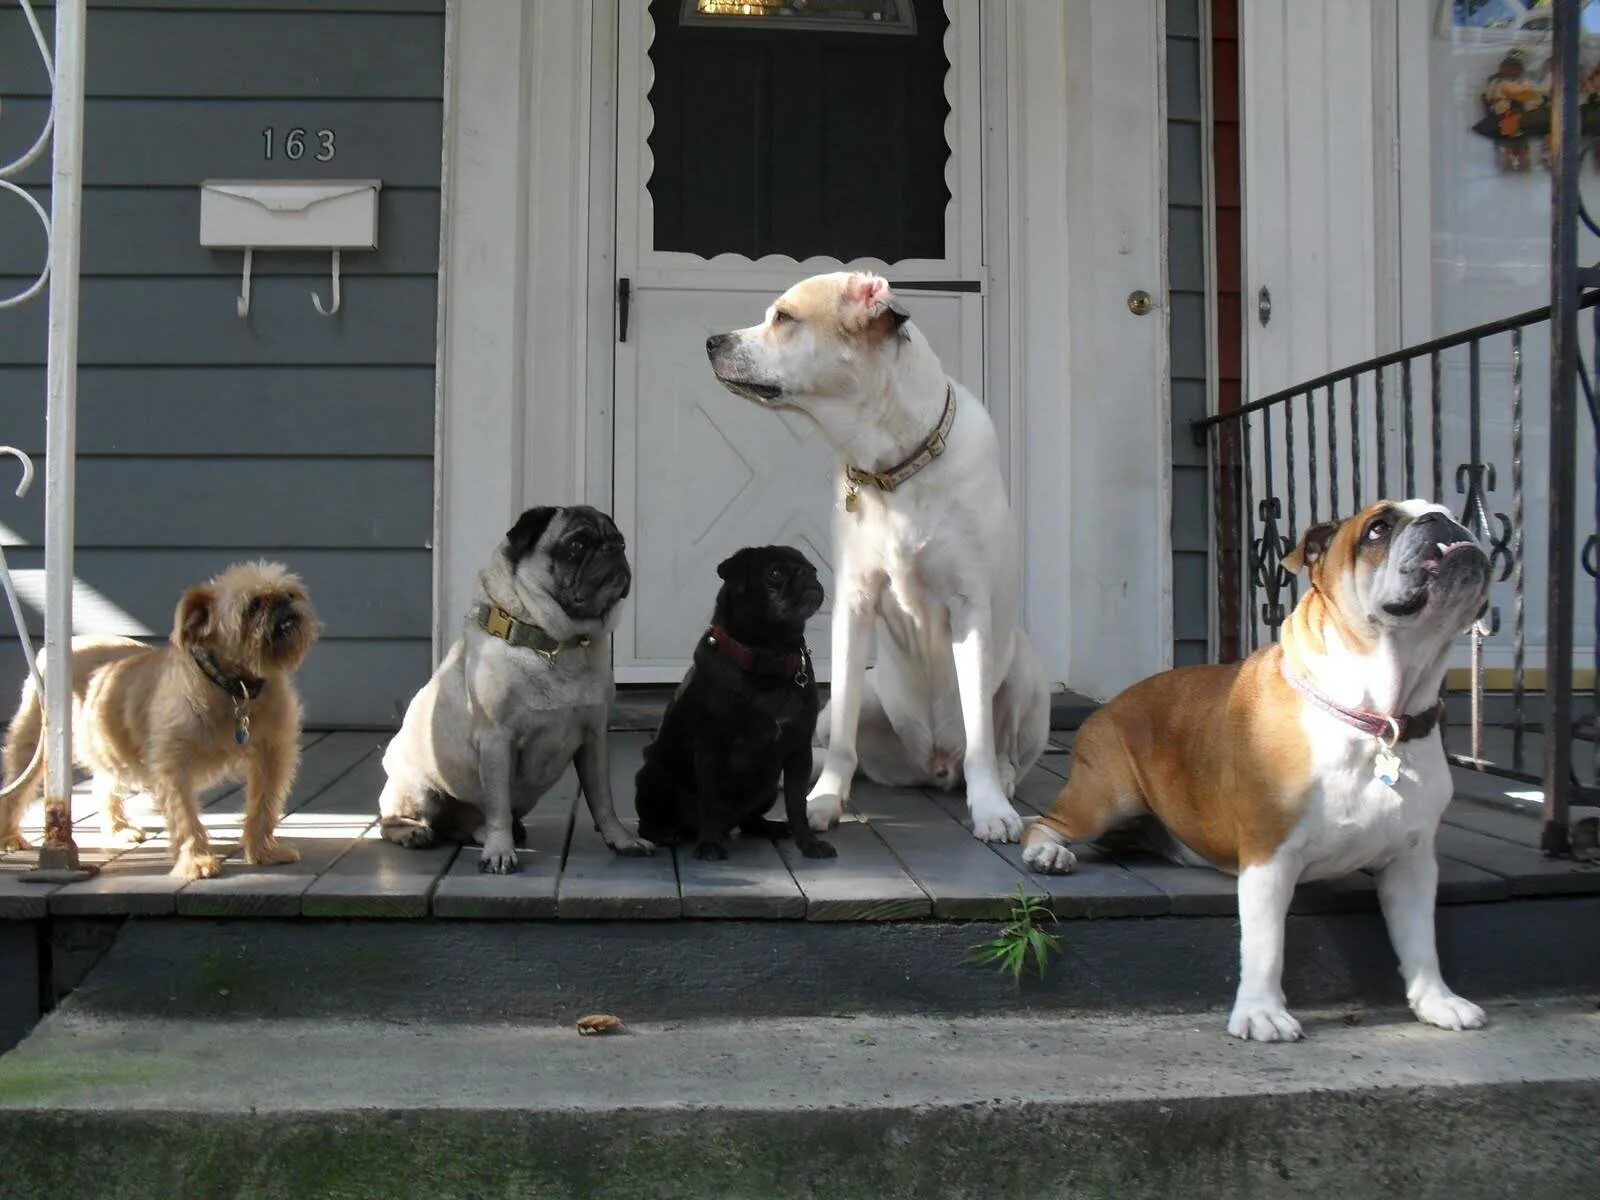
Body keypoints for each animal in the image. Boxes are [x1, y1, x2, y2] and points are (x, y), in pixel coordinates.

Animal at [704, 270, 1049, 844]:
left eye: (784, 318)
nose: (711, 342)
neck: (891, 466)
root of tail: (931, 766)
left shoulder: (970, 608)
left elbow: (981, 731)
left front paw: (990, 809)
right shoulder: (852, 603)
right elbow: (843, 737)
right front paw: (823, 801)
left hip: (1025, 670)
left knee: (1008, 756)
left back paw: (997, 782)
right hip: (858, 698)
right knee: (838, 741)